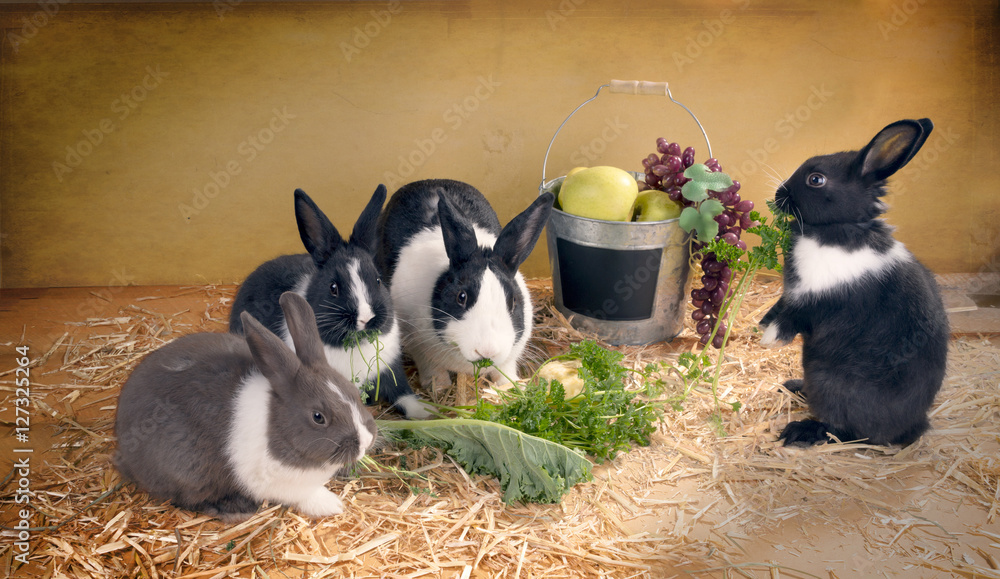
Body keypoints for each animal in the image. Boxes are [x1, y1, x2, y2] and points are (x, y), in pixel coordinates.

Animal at [115, 292, 378, 522]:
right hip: (188, 469)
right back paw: (234, 510)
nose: (366, 441)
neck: (277, 426)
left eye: (352, 391)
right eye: (318, 416)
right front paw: (331, 505)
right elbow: (305, 496)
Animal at [229, 186, 430, 419]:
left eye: (378, 280)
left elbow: (403, 393)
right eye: (333, 288)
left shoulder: (390, 368)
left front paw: (427, 412)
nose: (366, 318)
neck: (355, 345)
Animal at [376, 179, 554, 391]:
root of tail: (432, 180)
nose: (487, 350)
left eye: (513, 302)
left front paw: (509, 386)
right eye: (461, 297)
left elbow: (504, 369)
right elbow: (431, 367)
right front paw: (439, 387)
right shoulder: (418, 345)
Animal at [760, 118, 950, 447]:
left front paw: (768, 339)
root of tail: (912, 427)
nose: (779, 194)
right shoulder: (792, 294)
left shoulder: (813, 301)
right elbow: (779, 307)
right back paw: (793, 386)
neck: (839, 227)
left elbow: (790, 319)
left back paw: (801, 430)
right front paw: (761, 323)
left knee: (847, 432)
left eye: (816, 179)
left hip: (829, 382)